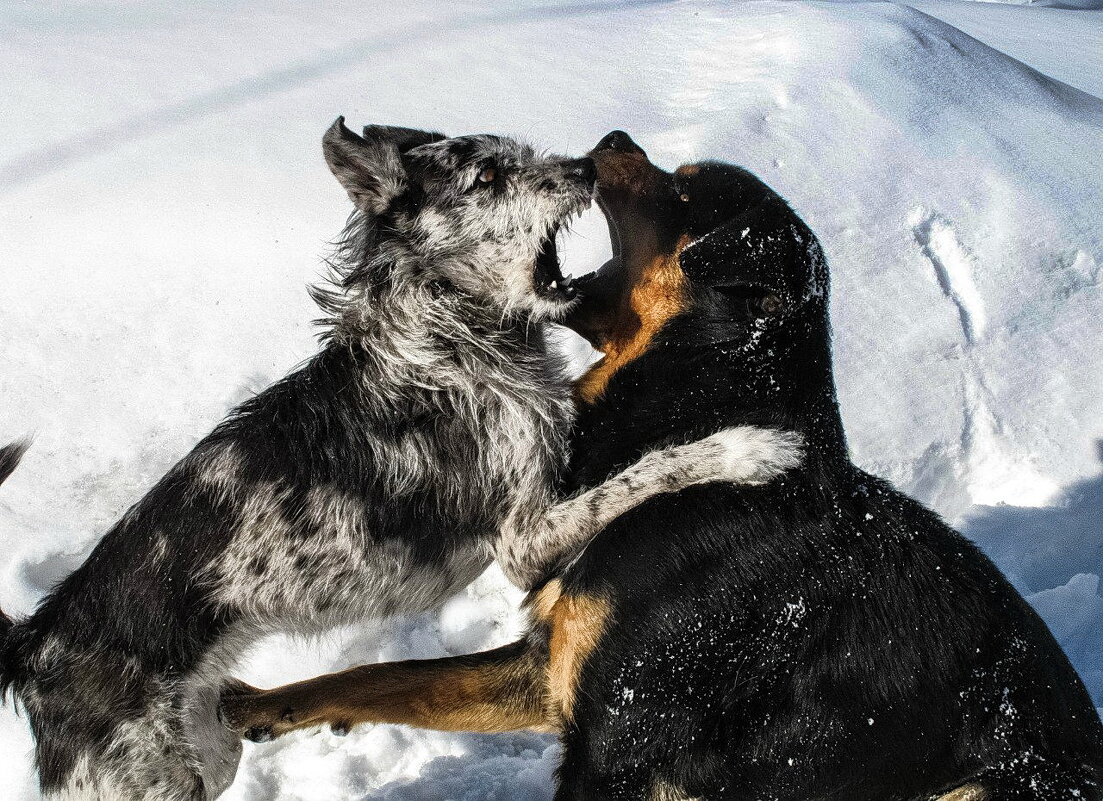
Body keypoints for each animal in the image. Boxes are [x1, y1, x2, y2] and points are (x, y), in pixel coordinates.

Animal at [0, 120, 802, 801]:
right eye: (487, 177)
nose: (583, 165)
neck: (450, 336)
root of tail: (34, 644)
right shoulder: (522, 542)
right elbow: (644, 473)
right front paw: (747, 448)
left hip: (206, 748)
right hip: (148, 777)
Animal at [223, 133, 1103, 801]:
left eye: (681, 191)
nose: (613, 137)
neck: (693, 409)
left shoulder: (617, 738)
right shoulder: (555, 669)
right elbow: (387, 673)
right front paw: (253, 703)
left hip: (990, 783)